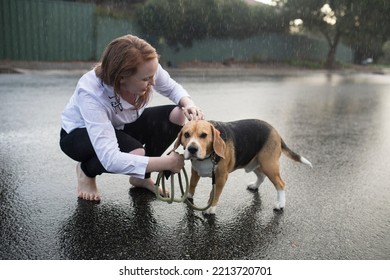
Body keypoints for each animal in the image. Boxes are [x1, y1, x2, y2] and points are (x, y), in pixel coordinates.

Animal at [172, 118, 312, 214]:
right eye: (186, 134)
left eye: (204, 135)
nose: (192, 149)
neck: (208, 155)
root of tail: (275, 130)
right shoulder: (195, 170)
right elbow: (192, 184)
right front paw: (188, 197)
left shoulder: (221, 177)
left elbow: (214, 193)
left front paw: (211, 207)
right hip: (255, 162)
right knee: (261, 176)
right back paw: (255, 185)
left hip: (269, 165)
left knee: (280, 184)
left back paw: (280, 204)